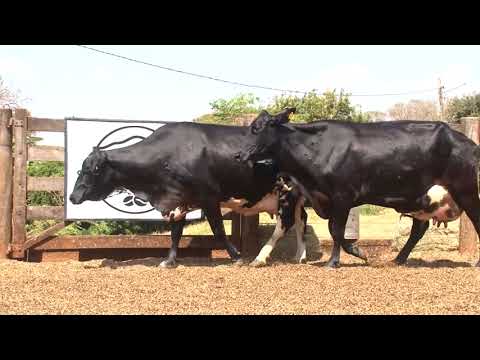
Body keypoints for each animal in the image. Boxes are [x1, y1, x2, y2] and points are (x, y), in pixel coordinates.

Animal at [69, 119, 306, 268]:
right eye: (82, 168)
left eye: (93, 169)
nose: (73, 196)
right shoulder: (178, 198)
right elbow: (176, 233)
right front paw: (169, 261)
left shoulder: (209, 198)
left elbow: (218, 230)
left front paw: (236, 256)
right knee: (300, 220)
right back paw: (299, 256)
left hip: (286, 194)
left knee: (284, 224)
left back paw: (260, 257)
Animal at [242, 108, 480, 268]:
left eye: (256, 128)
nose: (239, 154)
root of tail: (466, 141)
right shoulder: (329, 198)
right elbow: (334, 231)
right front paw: (354, 254)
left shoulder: (343, 196)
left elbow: (337, 231)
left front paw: (337, 260)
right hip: (422, 199)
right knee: (418, 230)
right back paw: (398, 259)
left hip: (466, 191)